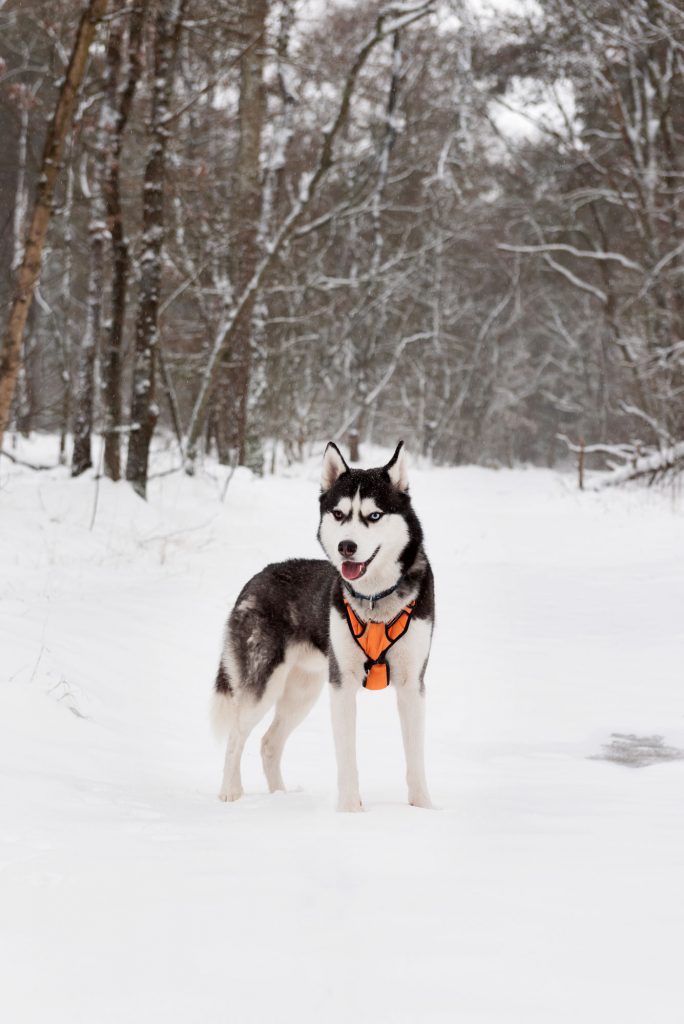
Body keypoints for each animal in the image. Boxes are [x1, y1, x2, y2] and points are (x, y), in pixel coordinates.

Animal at [210, 444, 436, 811]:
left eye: (374, 516)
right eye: (339, 514)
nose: (347, 546)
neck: (375, 599)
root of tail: (257, 577)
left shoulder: (411, 683)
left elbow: (415, 758)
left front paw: (424, 809)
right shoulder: (342, 685)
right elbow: (347, 758)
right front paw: (350, 810)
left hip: (303, 691)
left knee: (269, 742)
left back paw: (280, 796)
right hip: (265, 683)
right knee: (236, 734)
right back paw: (230, 792)